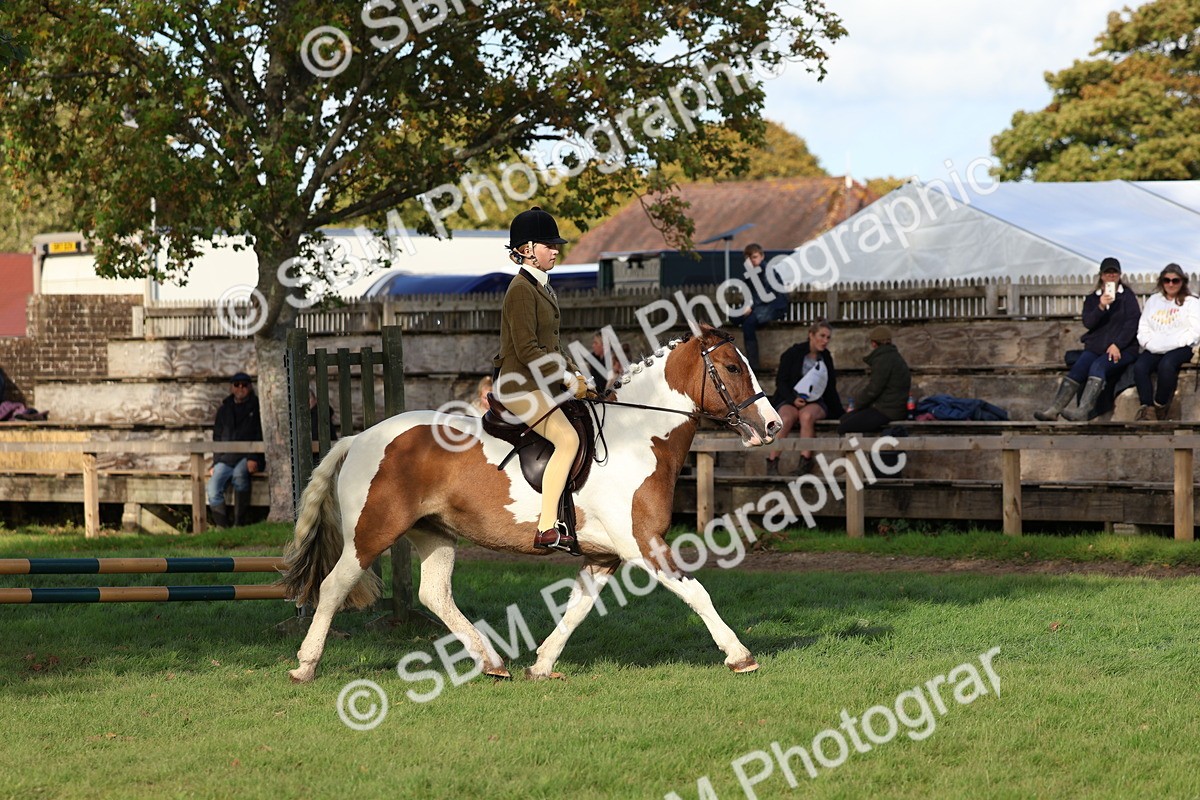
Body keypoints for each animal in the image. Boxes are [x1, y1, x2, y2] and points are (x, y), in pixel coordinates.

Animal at [280, 324, 783, 683]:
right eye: (732, 369)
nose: (773, 425)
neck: (640, 436)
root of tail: (361, 437)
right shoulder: (642, 543)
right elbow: (695, 591)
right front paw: (740, 655)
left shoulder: (604, 555)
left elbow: (577, 609)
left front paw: (541, 665)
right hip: (373, 531)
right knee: (334, 585)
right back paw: (305, 665)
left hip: (434, 532)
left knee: (434, 594)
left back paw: (492, 661)